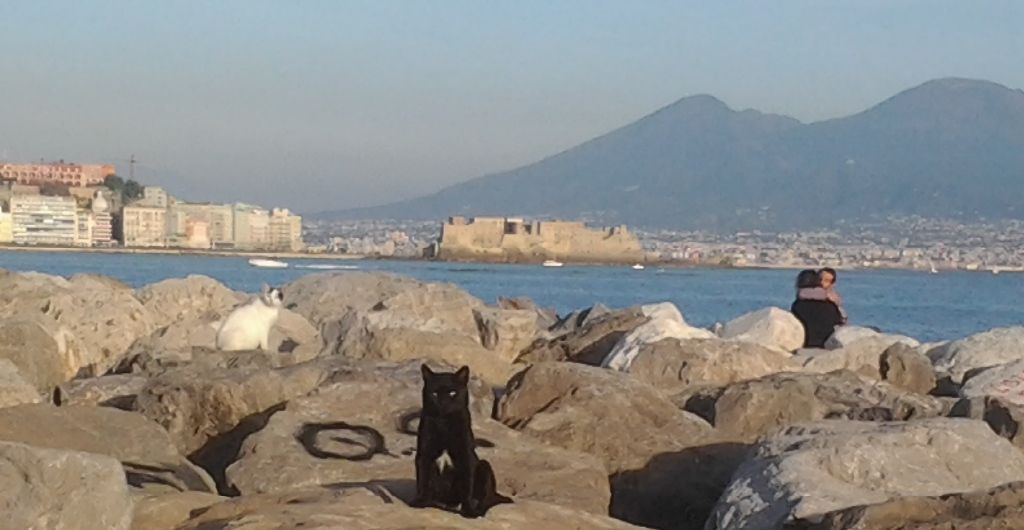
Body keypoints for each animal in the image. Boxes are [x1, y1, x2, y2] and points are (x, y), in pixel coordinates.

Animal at [408, 364, 513, 518]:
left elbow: (467, 486)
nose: (442, 403)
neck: (444, 425)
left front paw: (469, 511)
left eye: (452, 393)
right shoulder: (424, 453)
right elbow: (423, 479)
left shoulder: (466, 457)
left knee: (486, 499)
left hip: (484, 466)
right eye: (434, 393)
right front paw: (420, 501)